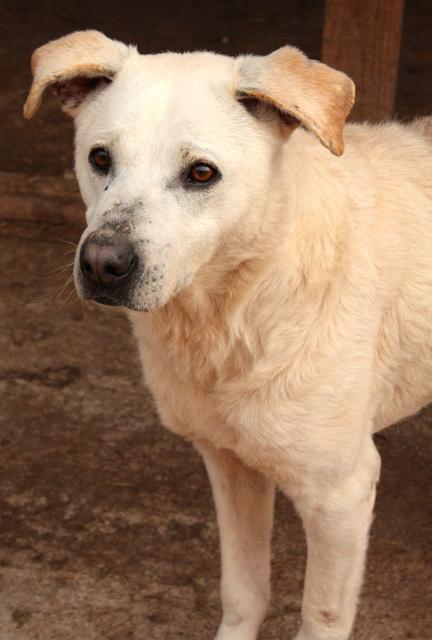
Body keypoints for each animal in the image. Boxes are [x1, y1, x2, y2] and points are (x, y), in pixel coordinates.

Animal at [24, 30, 432, 640]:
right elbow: (243, 589)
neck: (234, 315)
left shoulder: (341, 494)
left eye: (201, 173)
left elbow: (320, 615)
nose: (101, 264)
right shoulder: (229, 462)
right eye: (100, 158)